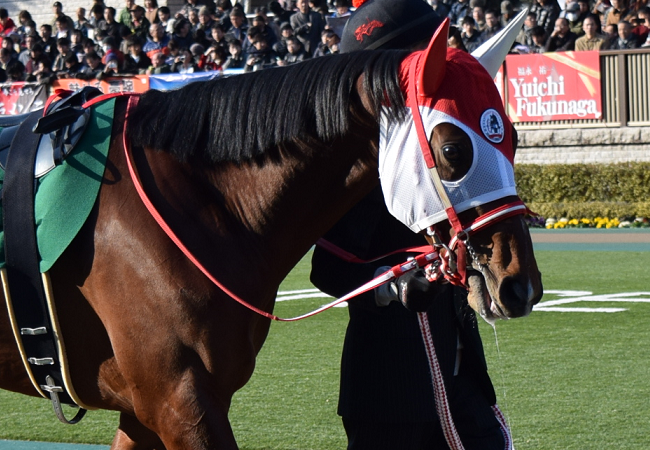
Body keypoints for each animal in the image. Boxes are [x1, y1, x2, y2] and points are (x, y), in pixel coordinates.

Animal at [0, 24, 542, 450]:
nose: (521, 284)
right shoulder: (177, 400)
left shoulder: (148, 407)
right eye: (453, 149)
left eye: (514, 137)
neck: (199, 201)